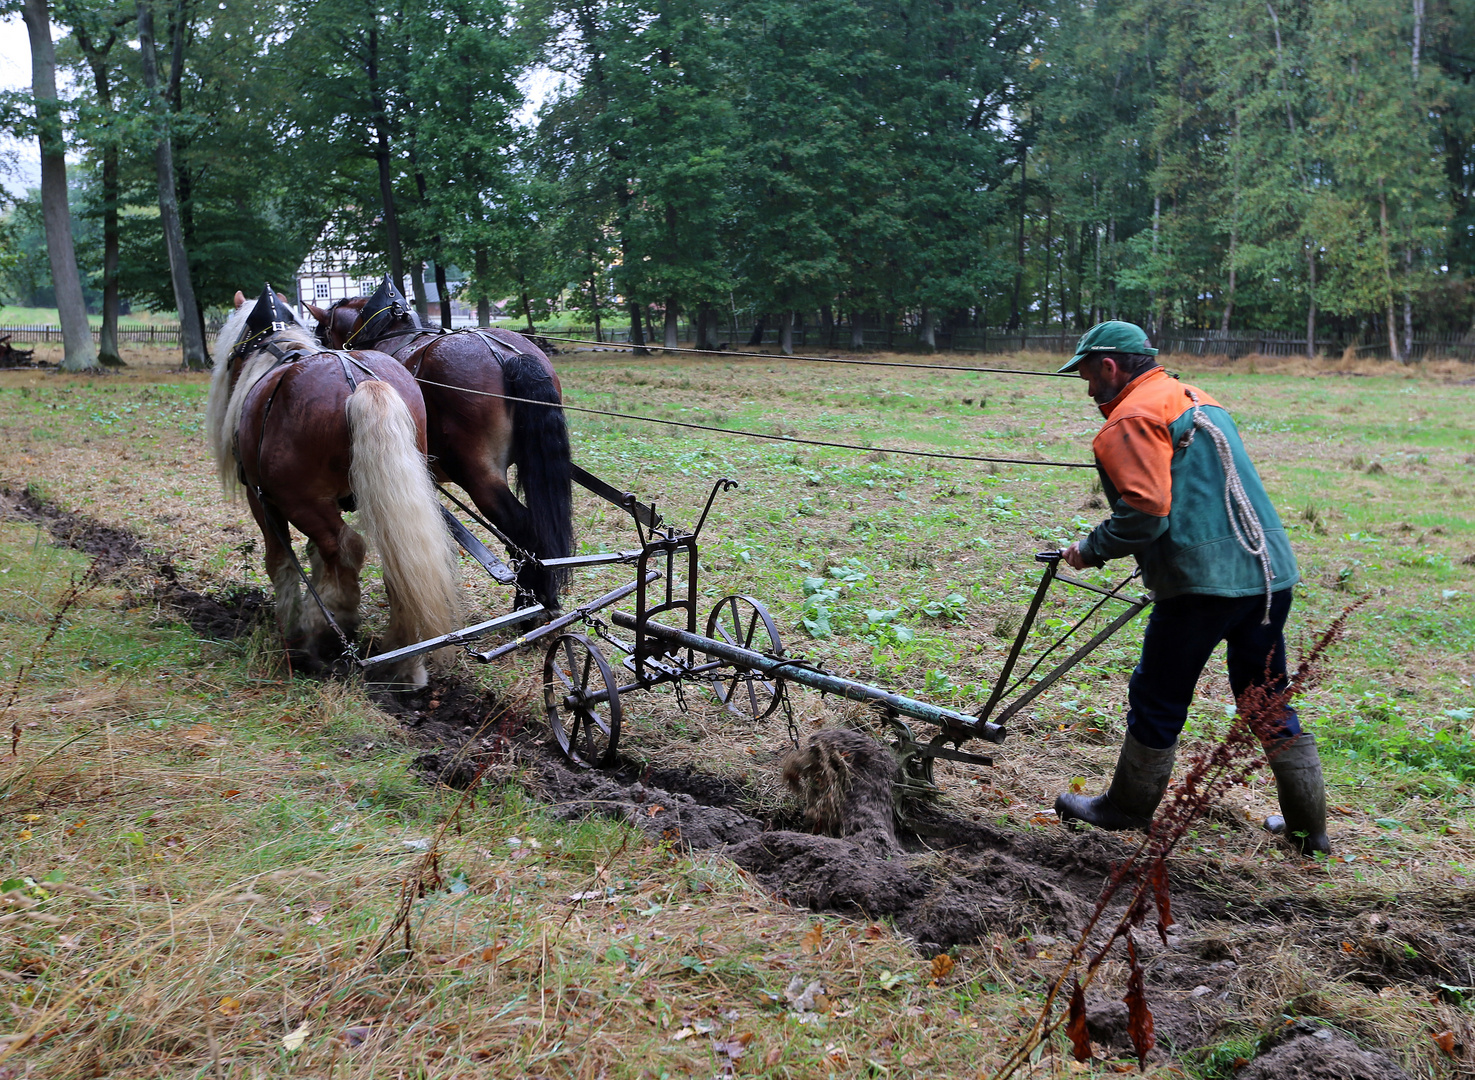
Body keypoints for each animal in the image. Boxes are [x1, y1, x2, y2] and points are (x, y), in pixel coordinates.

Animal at [205, 284, 460, 684]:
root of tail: (362, 382)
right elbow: (316, 557)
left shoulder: (262, 500)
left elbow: (281, 561)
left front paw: (293, 627)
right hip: (397, 496)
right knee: (401, 561)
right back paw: (404, 659)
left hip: (300, 501)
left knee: (347, 548)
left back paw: (323, 630)